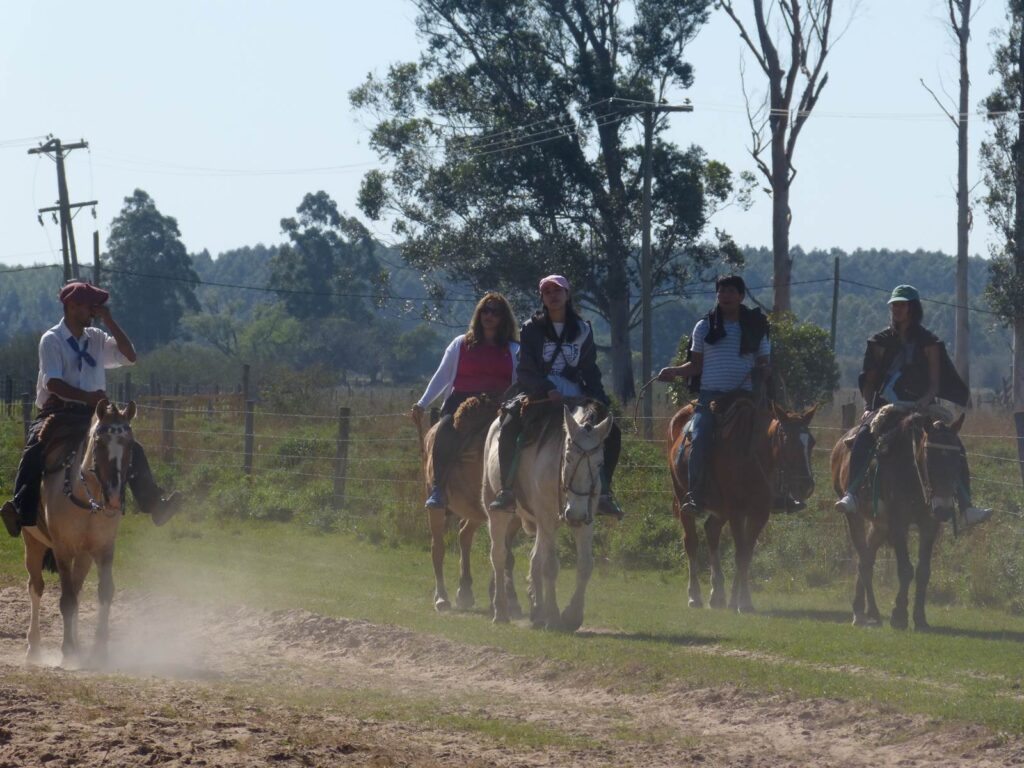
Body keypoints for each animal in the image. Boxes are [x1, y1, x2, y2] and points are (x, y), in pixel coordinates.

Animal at [22, 399, 136, 663]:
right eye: (99, 442)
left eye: (129, 444)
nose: (115, 498)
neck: (86, 497)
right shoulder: (63, 550)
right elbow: (66, 601)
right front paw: (66, 651)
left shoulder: (104, 549)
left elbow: (104, 592)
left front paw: (99, 649)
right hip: (32, 543)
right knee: (36, 587)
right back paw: (34, 647)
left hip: (84, 555)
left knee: (77, 589)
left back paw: (78, 645)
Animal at [483, 403, 610, 630]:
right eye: (568, 457)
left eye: (599, 463)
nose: (575, 514)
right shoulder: (547, 520)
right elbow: (550, 565)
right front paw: (553, 617)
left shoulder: (585, 522)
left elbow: (585, 565)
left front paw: (572, 616)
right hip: (498, 512)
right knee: (498, 555)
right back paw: (501, 611)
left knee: (534, 559)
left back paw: (537, 612)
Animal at [667, 397, 819, 614]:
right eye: (786, 439)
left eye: (811, 442)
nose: (805, 485)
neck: (753, 456)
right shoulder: (737, 512)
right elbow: (740, 554)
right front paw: (742, 601)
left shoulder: (760, 513)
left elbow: (746, 554)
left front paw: (737, 600)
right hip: (683, 500)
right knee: (691, 542)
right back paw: (694, 596)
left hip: (720, 509)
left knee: (711, 530)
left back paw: (717, 594)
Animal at [827, 405, 962, 634]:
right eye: (929, 456)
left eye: (956, 458)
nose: (944, 509)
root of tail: (841, 444)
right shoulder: (899, 523)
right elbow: (906, 570)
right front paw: (899, 615)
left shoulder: (929, 524)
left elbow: (923, 571)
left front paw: (920, 618)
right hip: (854, 517)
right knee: (865, 562)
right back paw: (867, 612)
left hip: (879, 525)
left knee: (866, 558)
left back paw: (864, 610)